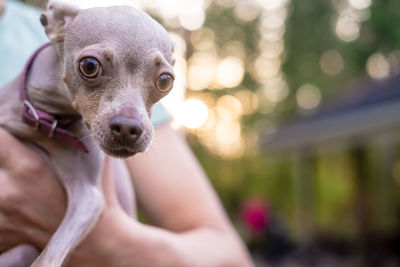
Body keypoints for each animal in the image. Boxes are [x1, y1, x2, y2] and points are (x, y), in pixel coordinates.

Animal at [0, 1, 175, 266]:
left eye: (165, 80)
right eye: (90, 66)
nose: (129, 128)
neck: (47, 119)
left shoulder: (89, 197)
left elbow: (47, 258)